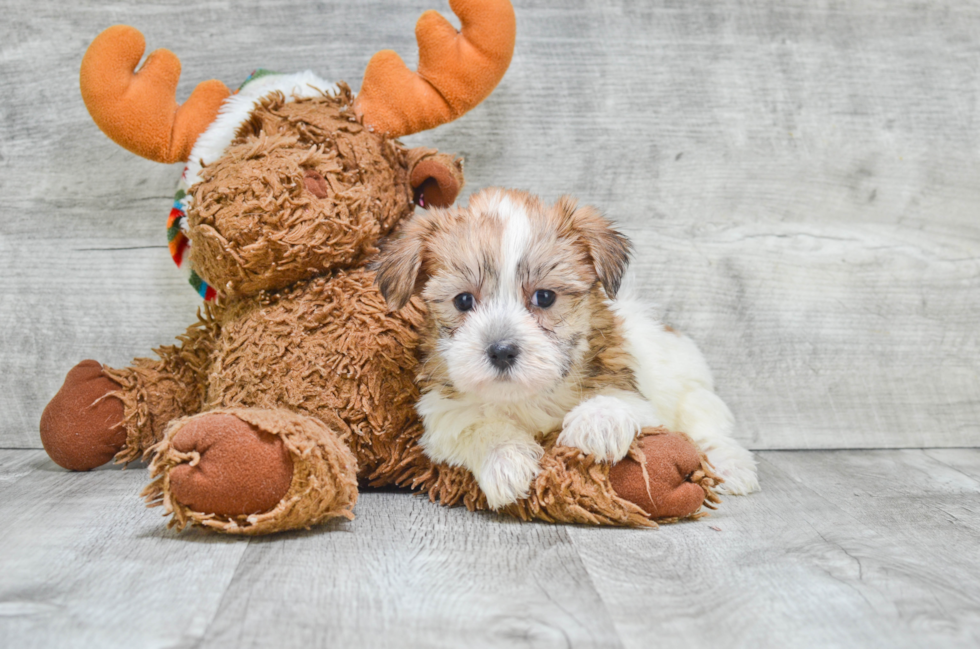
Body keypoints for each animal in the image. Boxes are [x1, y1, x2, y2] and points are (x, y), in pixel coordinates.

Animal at [376, 187, 756, 506]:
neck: (525, 396)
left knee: (708, 430)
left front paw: (597, 423)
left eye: (544, 297)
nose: (501, 351)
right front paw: (505, 460)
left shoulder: (634, 389)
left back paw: (731, 466)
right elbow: (475, 425)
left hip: (693, 393)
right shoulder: (441, 414)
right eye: (463, 300)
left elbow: (622, 400)